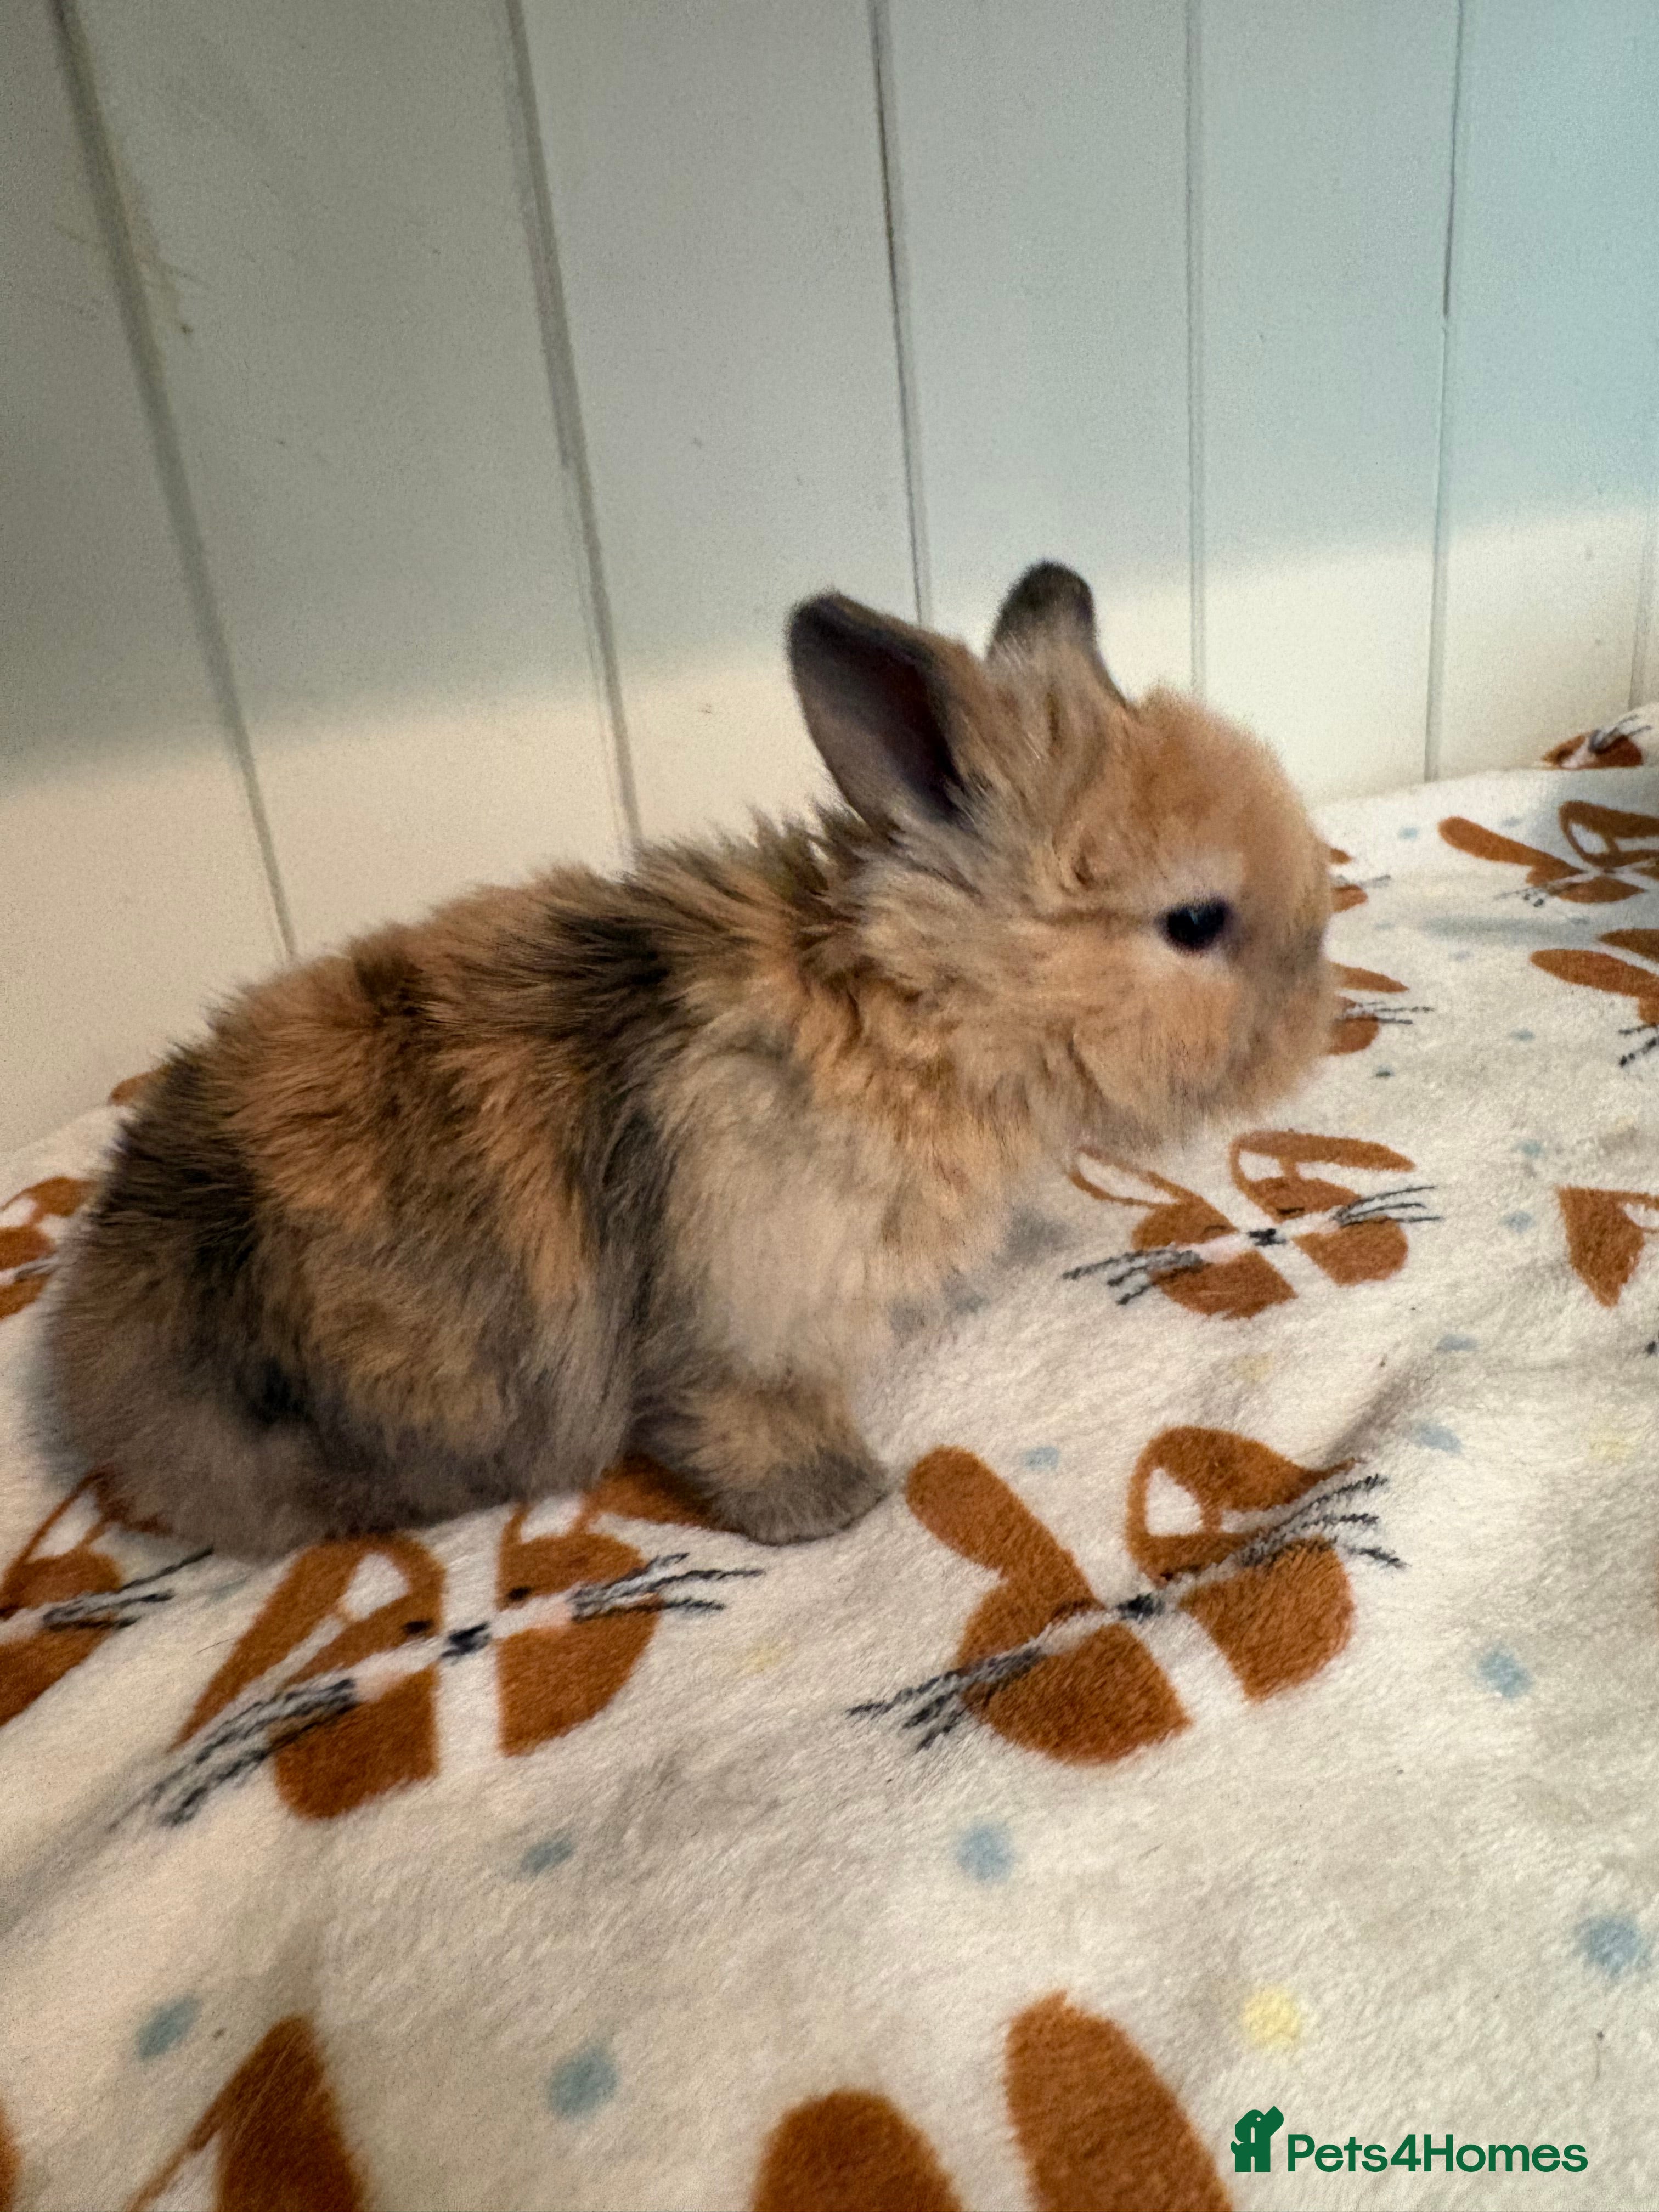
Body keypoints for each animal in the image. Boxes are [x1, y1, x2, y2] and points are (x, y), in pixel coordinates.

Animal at [44, 563, 1334, 1559]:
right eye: (1194, 923)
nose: (1316, 1021)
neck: (900, 1010)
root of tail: (97, 1352)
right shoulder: (745, 1312)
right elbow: (739, 1417)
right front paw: (833, 1505)